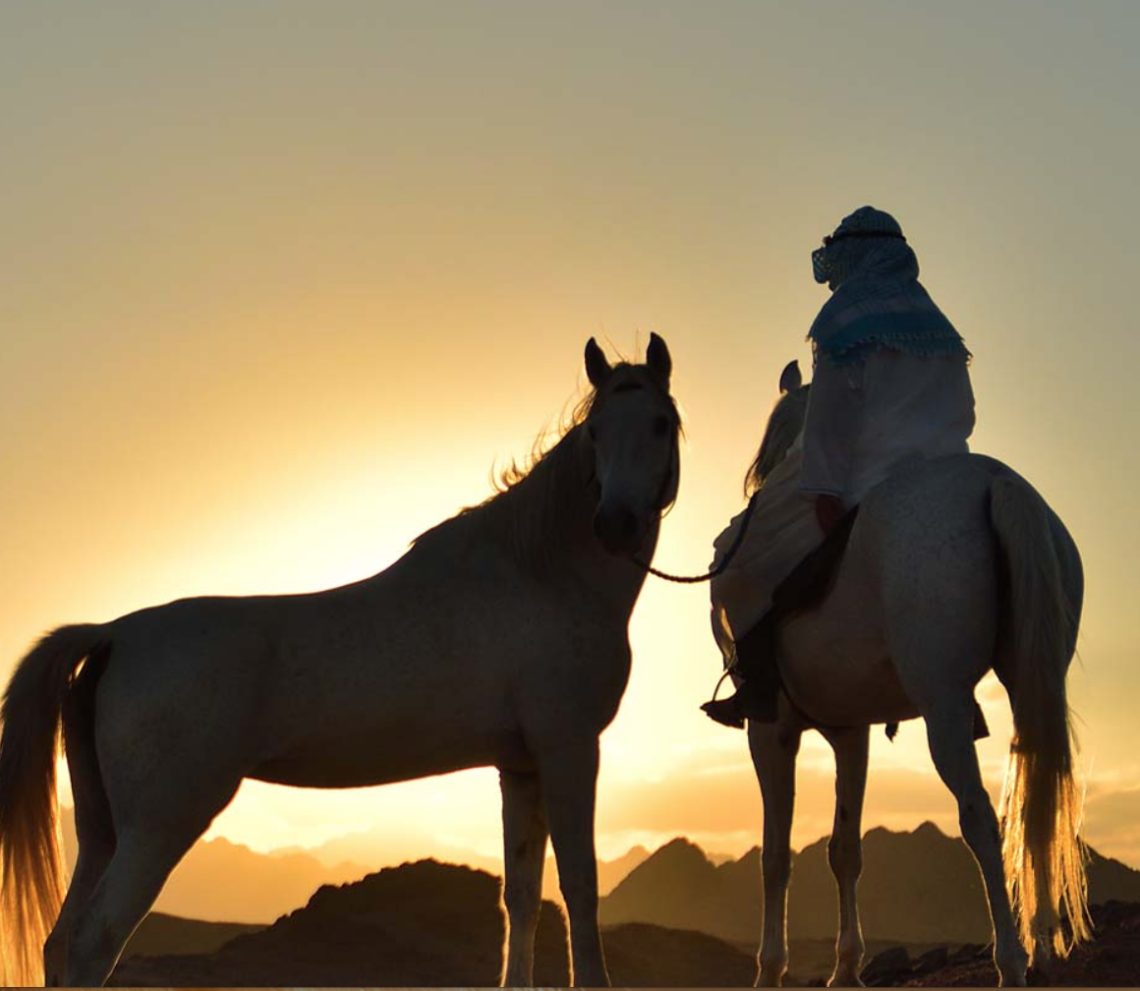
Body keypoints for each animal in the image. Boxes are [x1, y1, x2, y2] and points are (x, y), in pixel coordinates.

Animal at [0, 335, 674, 985]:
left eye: (661, 423)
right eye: (595, 432)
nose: (615, 525)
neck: (542, 576)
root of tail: (112, 635)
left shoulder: (522, 766)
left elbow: (524, 899)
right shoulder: (569, 748)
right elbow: (580, 889)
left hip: (102, 829)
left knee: (60, 941)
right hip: (160, 826)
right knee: (94, 942)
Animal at [720, 364, 1085, 989]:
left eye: (771, 446)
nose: (756, 484)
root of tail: (997, 481)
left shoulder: (770, 730)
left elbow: (775, 854)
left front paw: (770, 970)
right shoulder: (851, 733)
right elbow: (844, 849)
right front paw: (846, 968)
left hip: (943, 706)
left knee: (980, 818)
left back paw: (1010, 961)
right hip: (1032, 682)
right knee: (1035, 799)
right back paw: (1039, 946)